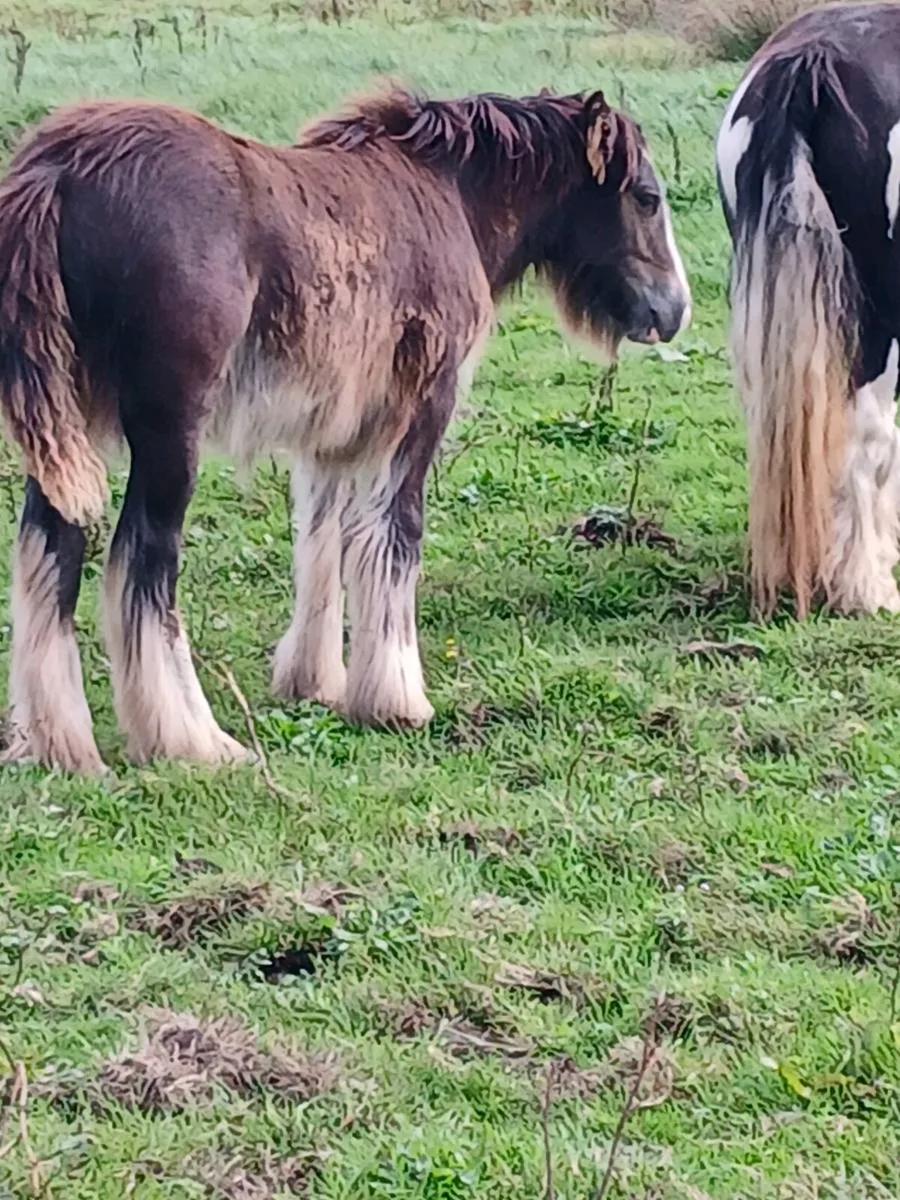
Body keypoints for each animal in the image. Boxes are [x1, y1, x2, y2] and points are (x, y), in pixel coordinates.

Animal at [0, 83, 691, 774]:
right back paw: (193, 739)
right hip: (169, 431)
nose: (675, 309)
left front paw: (315, 681)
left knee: (50, 550)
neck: (449, 195)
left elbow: (322, 541)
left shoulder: (333, 433)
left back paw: (58, 742)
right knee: (143, 565)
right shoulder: (423, 411)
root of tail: (59, 167)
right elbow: (397, 538)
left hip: (67, 430)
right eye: (647, 198)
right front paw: (396, 698)